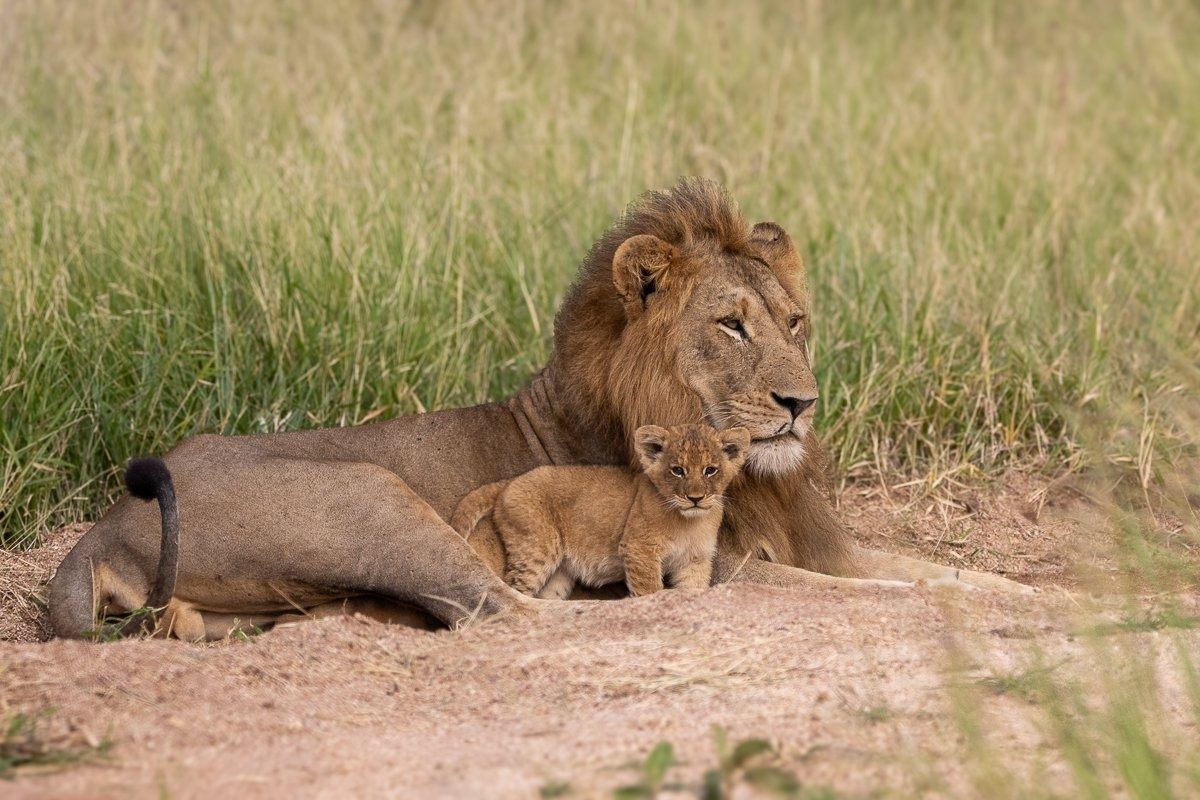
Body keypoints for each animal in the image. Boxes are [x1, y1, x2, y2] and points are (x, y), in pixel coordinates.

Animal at [453, 424, 749, 599]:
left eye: (710, 470)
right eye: (678, 470)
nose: (695, 498)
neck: (690, 522)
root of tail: (509, 482)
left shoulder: (695, 561)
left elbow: (693, 591)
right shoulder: (638, 549)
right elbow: (649, 591)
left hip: (558, 572)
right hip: (536, 548)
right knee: (515, 588)